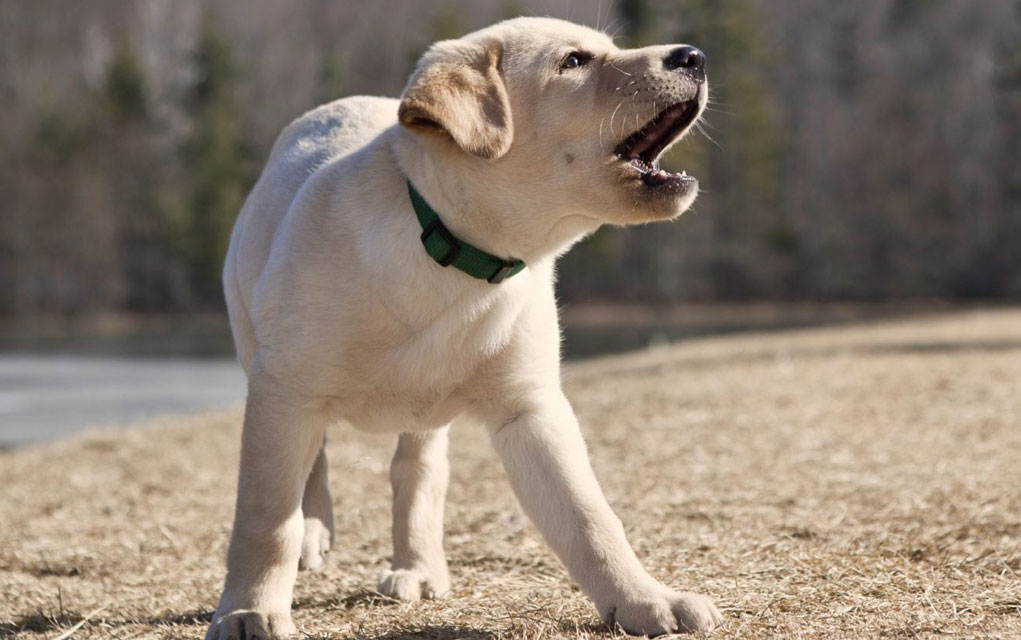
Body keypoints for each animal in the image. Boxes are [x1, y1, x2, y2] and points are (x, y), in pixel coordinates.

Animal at [205, 17, 718, 636]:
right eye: (574, 61)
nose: (694, 55)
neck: (452, 252)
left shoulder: (531, 408)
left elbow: (589, 516)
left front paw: (644, 599)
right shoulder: (285, 389)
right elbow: (266, 517)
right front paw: (251, 608)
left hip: (422, 414)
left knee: (416, 473)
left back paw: (418, 568)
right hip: (257, 348)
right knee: (315, 462)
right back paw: (316, 531)